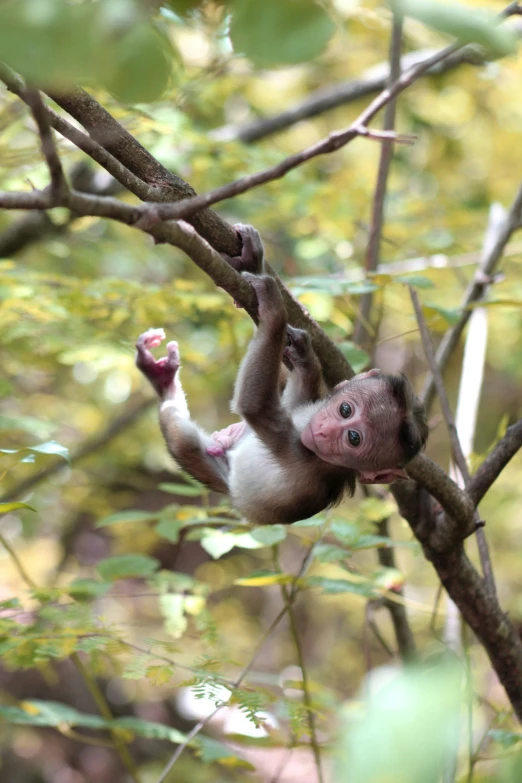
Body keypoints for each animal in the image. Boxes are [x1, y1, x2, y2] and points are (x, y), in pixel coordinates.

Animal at [135, 224, 426, 528]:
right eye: (345, 409)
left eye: (353, 439)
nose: (325, 430)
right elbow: (295, 398)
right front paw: (303, 353)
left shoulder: (303, 458)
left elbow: (255, 407)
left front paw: (275, 309)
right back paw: (162, 375)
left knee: (182, 441)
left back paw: (163, 382)